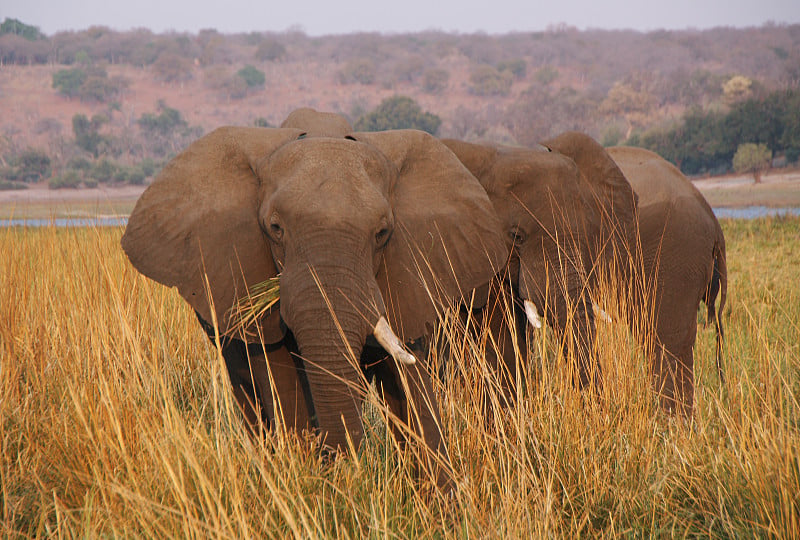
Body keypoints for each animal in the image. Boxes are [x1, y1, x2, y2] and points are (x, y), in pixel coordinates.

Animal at [120, 124, 506, 488]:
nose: (347, 472)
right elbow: (279, 376)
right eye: (275, 228)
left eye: (382, 233)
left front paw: (442, 500)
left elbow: (409, 375)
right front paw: (305, 479)